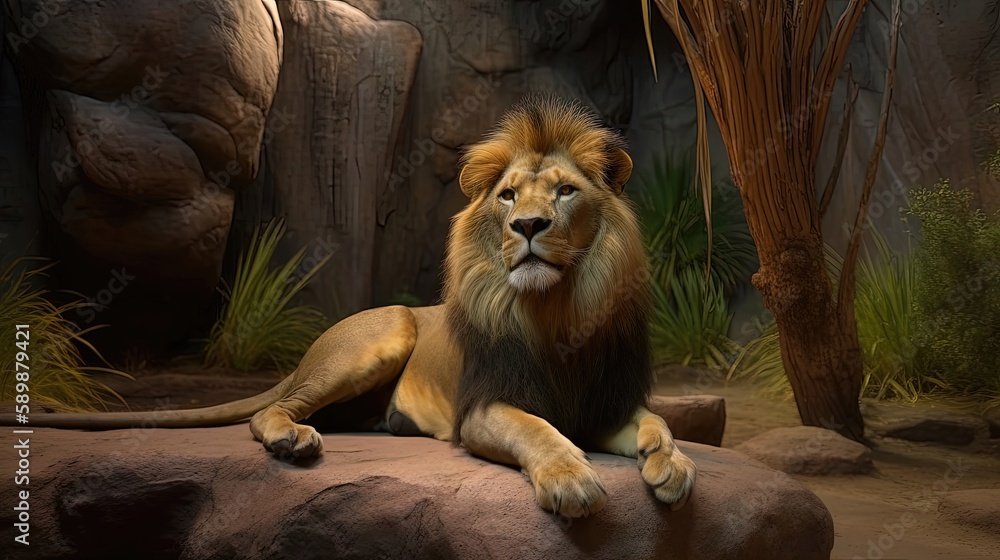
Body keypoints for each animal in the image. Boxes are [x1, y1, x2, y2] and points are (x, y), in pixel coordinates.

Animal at [4, 95, 696, 518]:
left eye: (565, 192)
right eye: (507, 196)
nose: (527, 225)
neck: (557, 312)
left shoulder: (605, 401)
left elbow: (657, 422)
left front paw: (672, 466)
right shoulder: (481, 410)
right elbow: (538, 428)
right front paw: (571, 477)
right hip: (384, 332)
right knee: (274, 409)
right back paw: (291, 440)